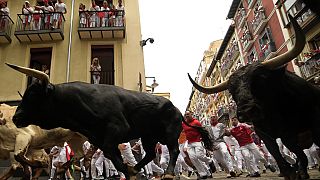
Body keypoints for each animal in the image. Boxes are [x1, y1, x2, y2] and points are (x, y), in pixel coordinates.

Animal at [188, 16, 320, 179]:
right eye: (231, 90)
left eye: (261, 78)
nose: (246, 111)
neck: (273, 111)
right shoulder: (266, 134)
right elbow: (278, 155)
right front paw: (289, 172)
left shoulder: (301, 126)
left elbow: (296, 153)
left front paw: (296, 172)